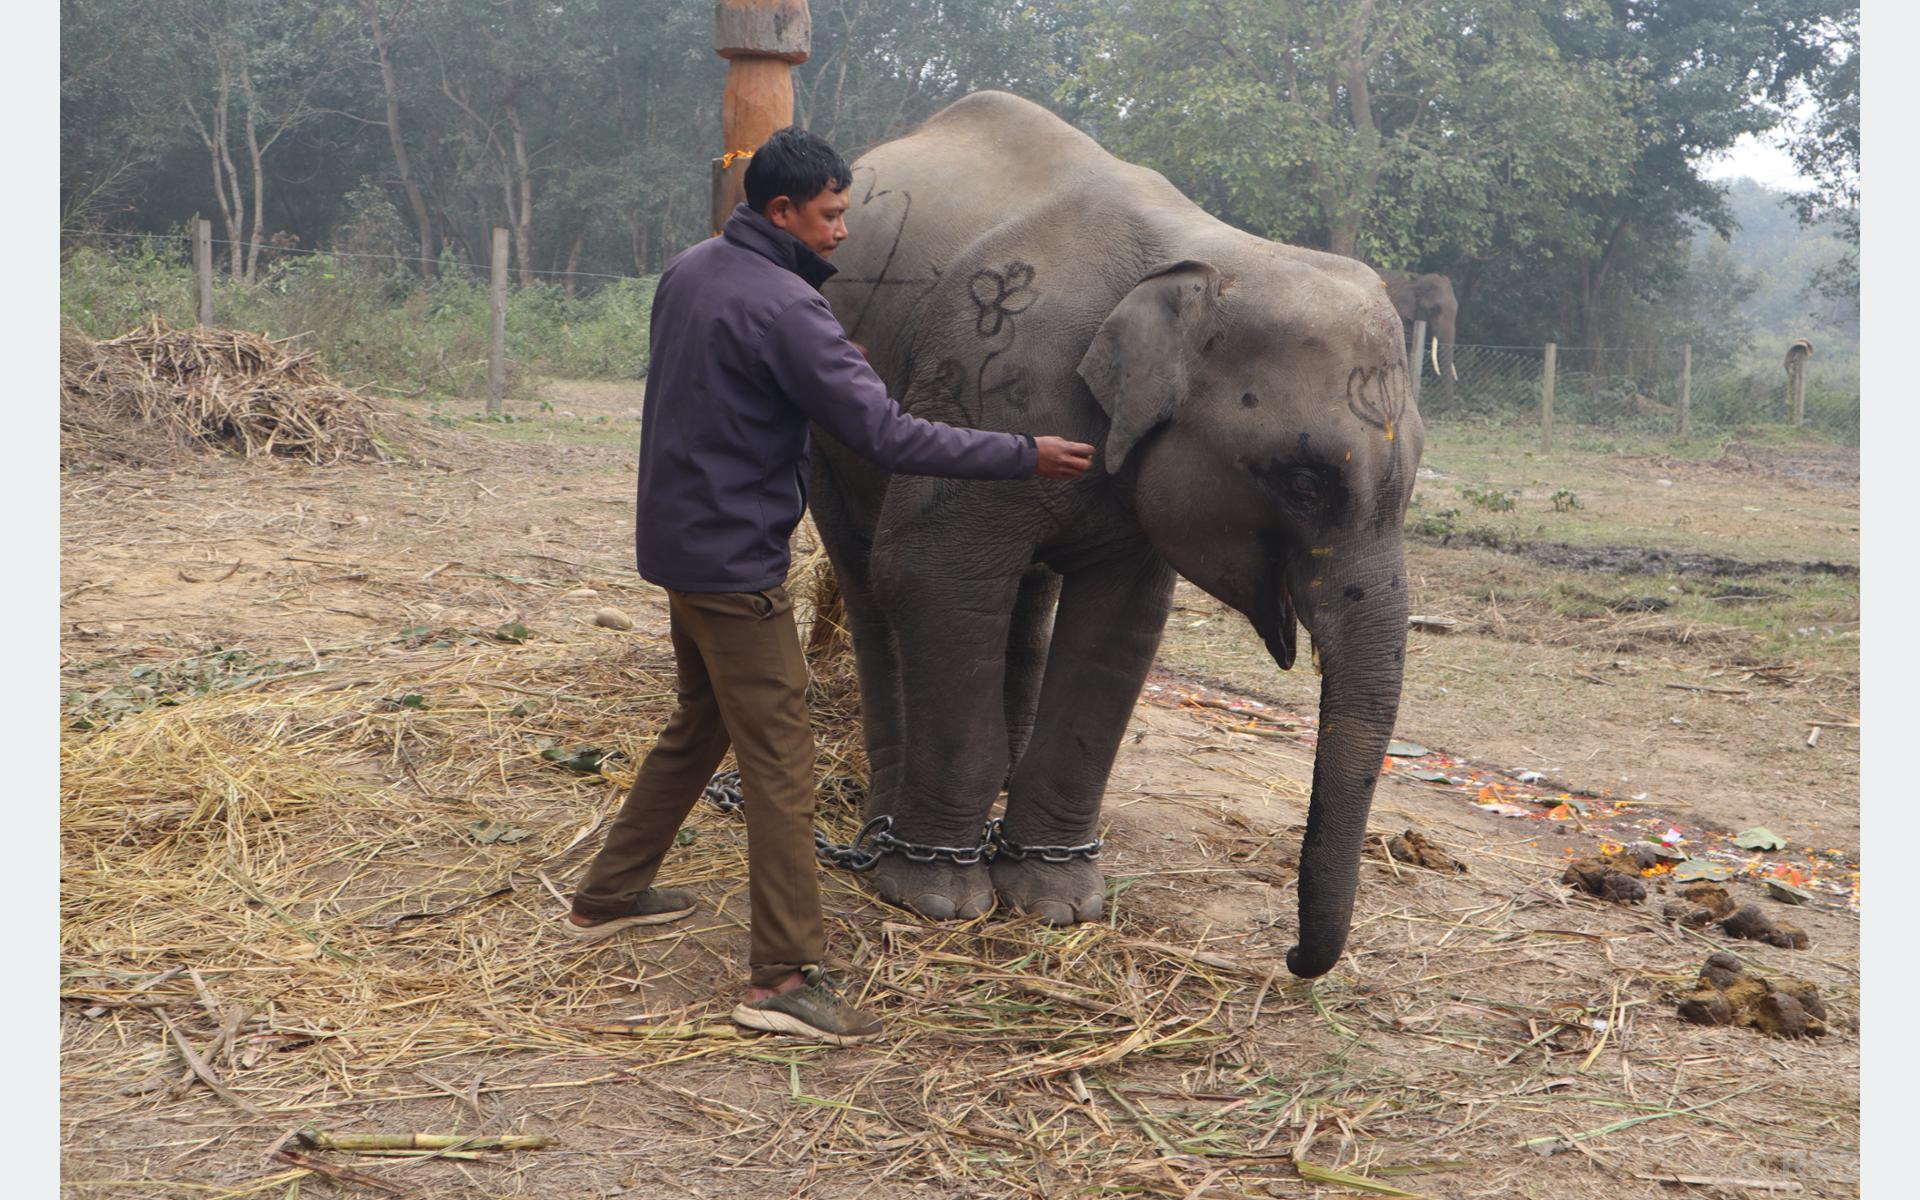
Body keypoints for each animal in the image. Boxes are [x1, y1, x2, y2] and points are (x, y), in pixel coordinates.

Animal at [810, 91, 1428, 975]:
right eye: (1305, 482)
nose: (1290, 958)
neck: (1208, 253)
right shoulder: (983, 382)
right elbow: (930, 573)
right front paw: (943, 900)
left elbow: (1121, 622)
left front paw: (1055, 903)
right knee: (870, 577)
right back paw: (887, 829)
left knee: (1024, 594)